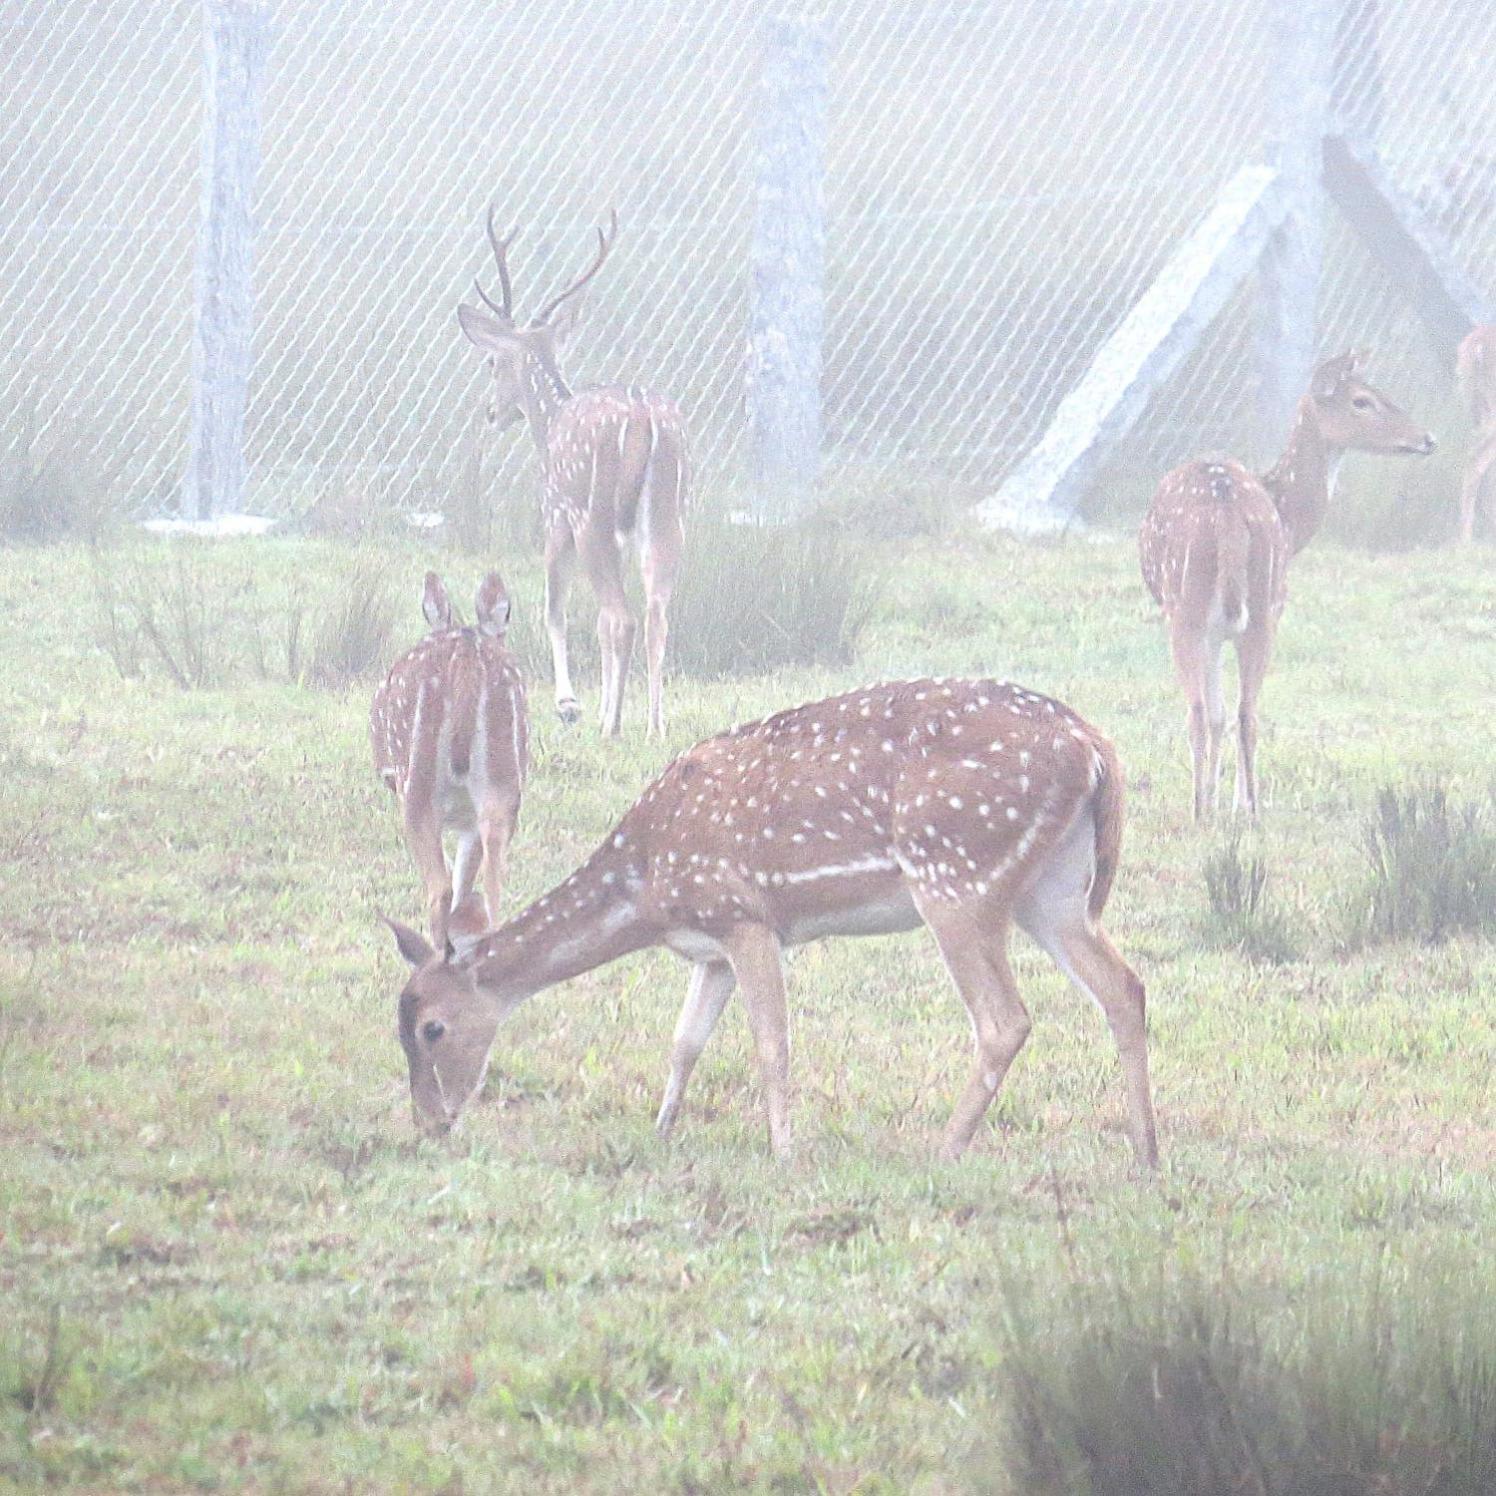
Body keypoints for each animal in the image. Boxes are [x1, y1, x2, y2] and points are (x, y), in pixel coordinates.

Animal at [382, 677, 1160, 1171]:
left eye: (432, 1028)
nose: (430, 1124)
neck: (648, 886)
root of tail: (1096, 748)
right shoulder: (709, 948)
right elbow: (685, 1042)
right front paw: (662, 1130)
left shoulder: (747, 916)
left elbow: (771, 1043)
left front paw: (784, 1152)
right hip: (1053, 888)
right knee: (1124, 987)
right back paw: (1146, 1155)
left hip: (957, 872)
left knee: (1005, 1019)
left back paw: (944, 1151)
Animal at [456, 209, 689, 738]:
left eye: (491, 360)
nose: (491, 412)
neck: (550, 423)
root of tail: (644, 418)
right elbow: (597, 623)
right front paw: (596, 704)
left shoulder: (554, 516)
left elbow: (554, 609)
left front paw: (570, 704)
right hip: (669, 513)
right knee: (655, 612)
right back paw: (655, 724)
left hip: (591, 514)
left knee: (622, 616)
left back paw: (614, 725)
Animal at [1139, 351, 1434, 823]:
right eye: (1362, 400)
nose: (1427, 438)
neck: (1290, 522)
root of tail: (1226, 512)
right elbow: (1225, 712)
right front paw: (1223, 801)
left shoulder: (1215, 627)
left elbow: (1218, 712)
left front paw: (1217, 800)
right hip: (1250, 610)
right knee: (1238, 712)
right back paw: (1237, 811)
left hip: (1193, 609)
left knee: (1210, 712)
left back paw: (1210, 810)